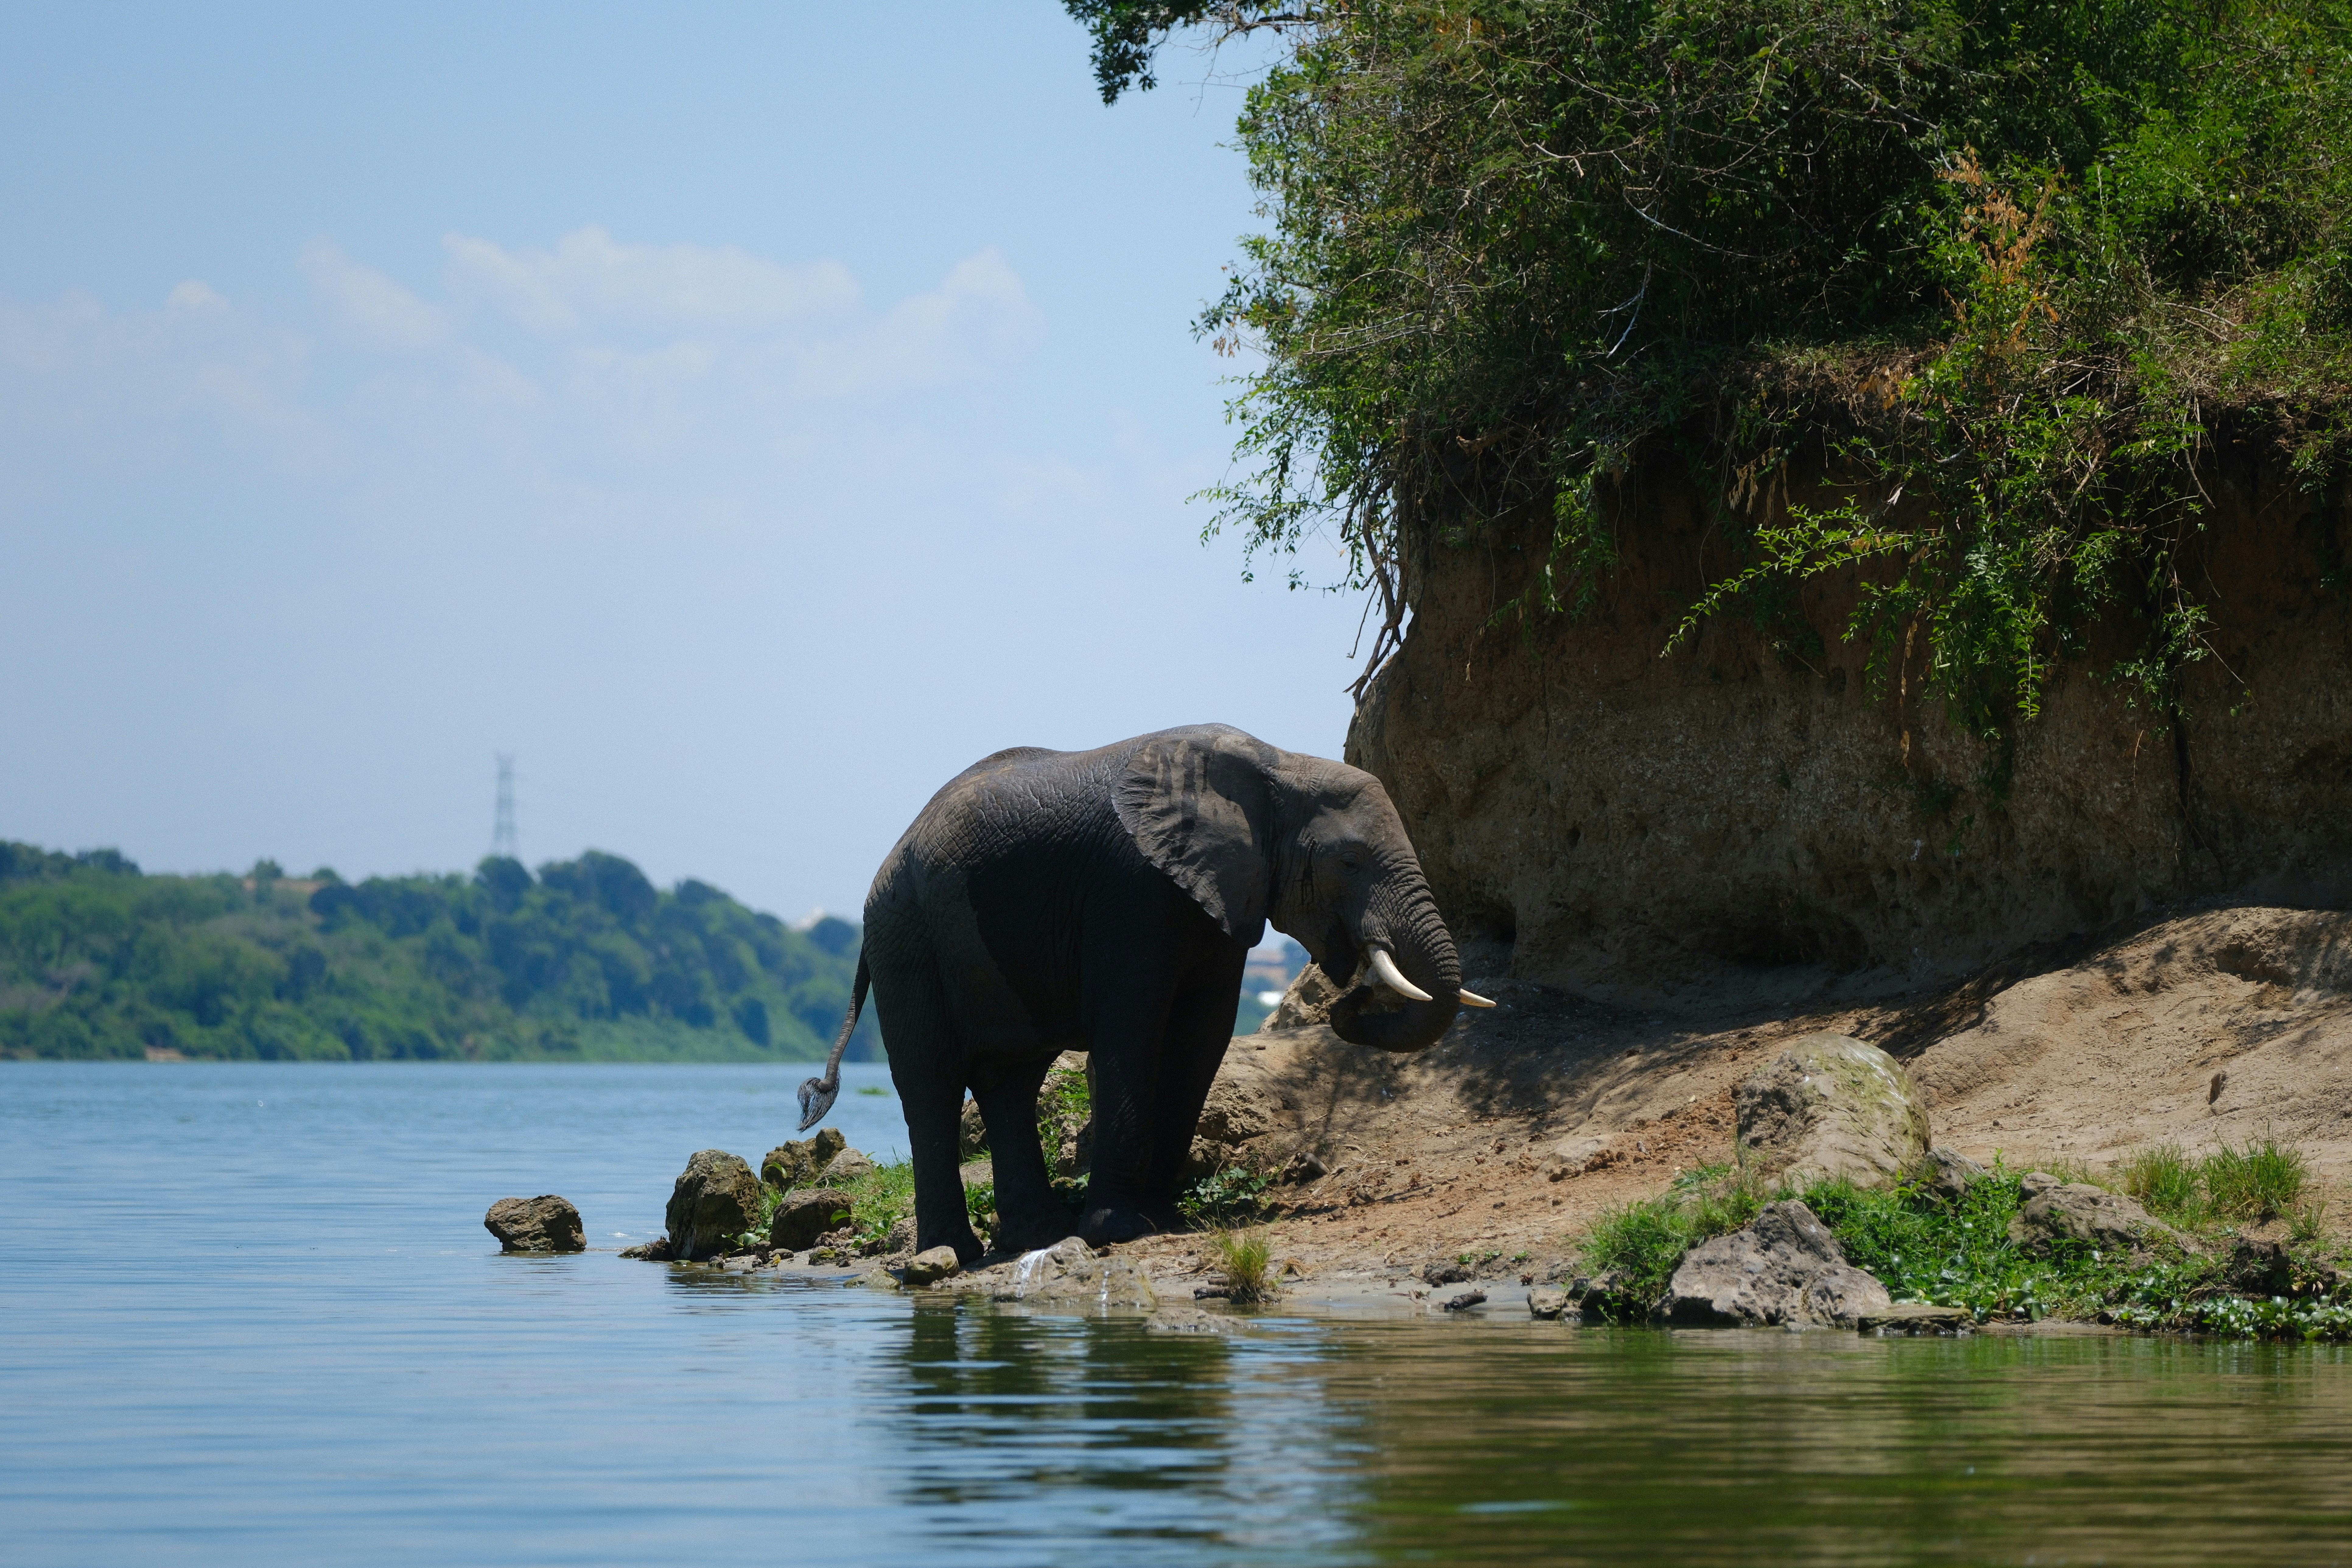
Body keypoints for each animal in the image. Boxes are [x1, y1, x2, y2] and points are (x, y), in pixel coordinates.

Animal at [796, 723, 1490, 1258]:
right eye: (1348, 861)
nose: (1348, 998)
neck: (1277, 765)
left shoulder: (1219, 895)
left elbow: (1202, 1038)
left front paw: (1164, 1218)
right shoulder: (1131, 890)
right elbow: (1131, 1031)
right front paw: (1121, 1231)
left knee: (1011, 1079)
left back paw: (1037, 1236)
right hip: (905, 937)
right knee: (934, 1081)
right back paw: (952, 1252)